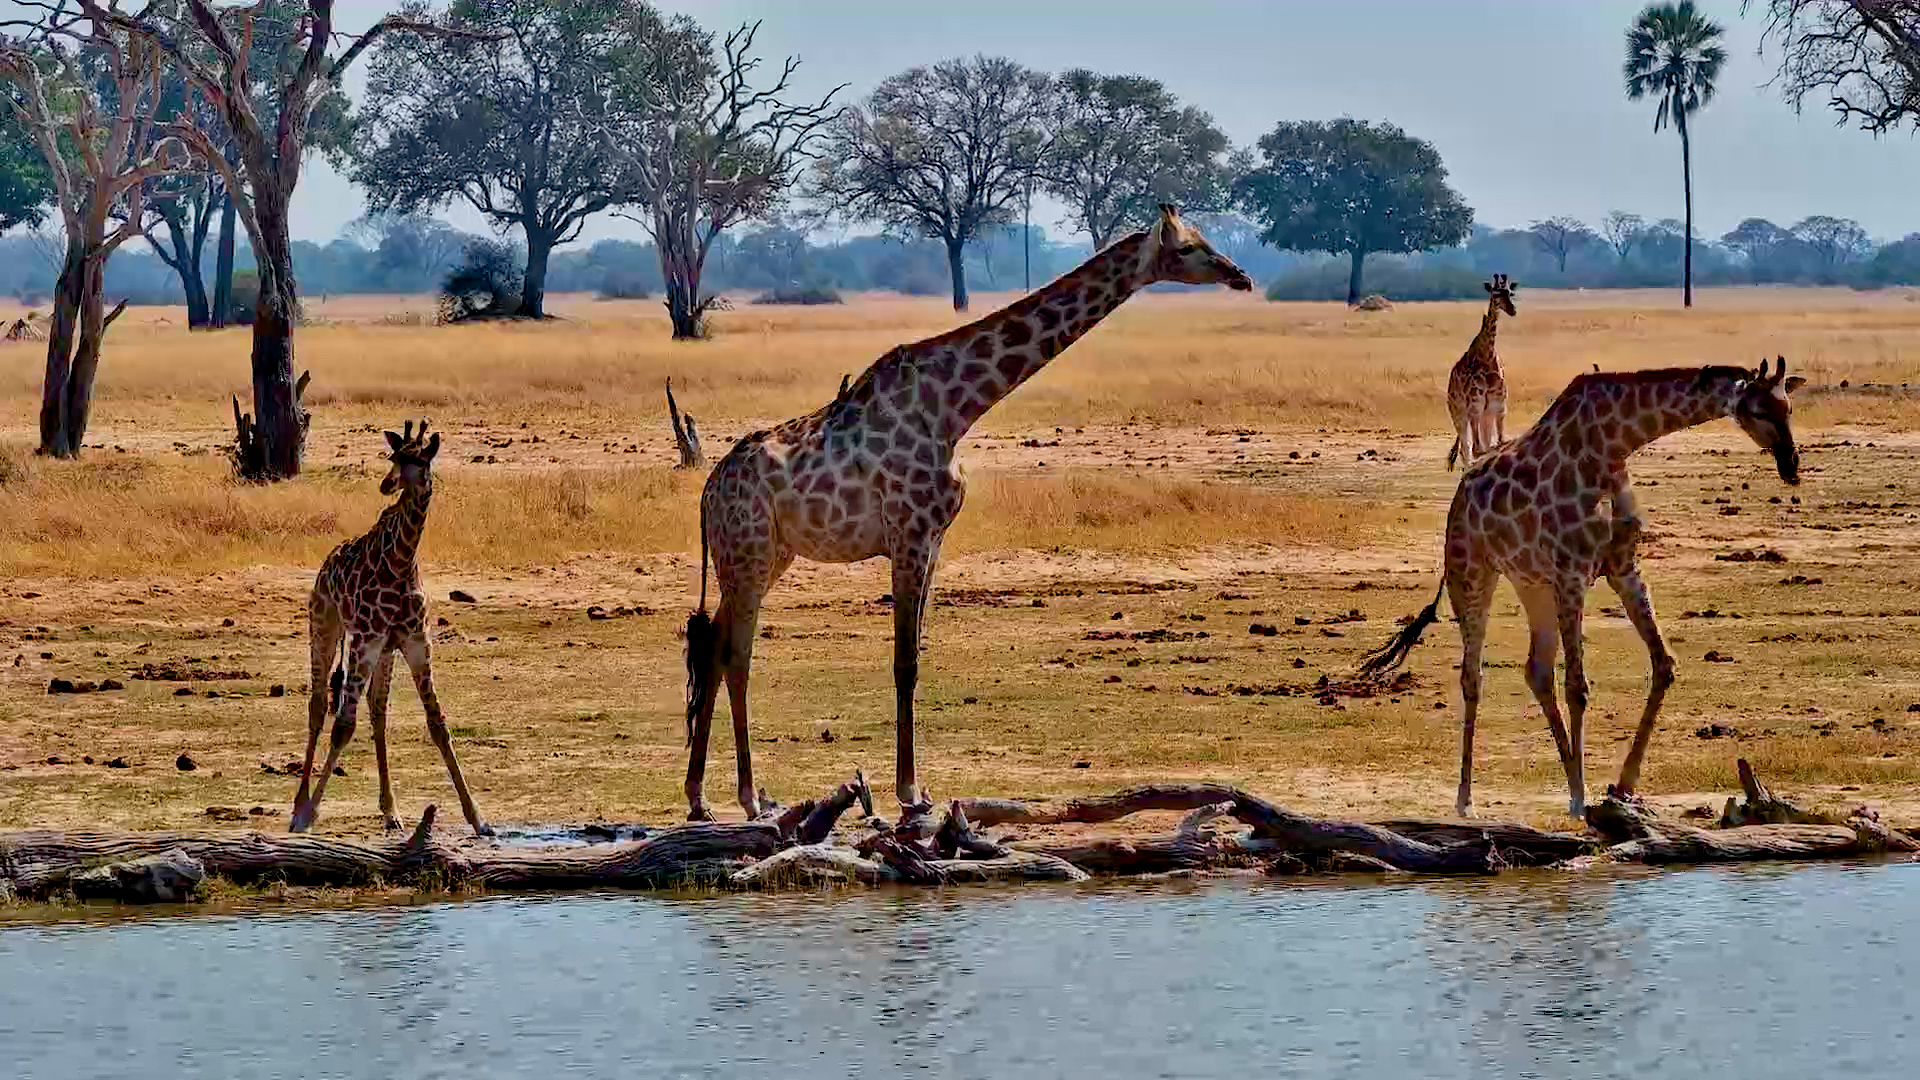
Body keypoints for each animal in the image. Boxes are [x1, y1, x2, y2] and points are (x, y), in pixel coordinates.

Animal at [289, 420, 490, 836]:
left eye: (419, 459)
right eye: (394, 456)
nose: (388, 483)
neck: (401, 562)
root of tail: (326, 563)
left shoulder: (415, 642)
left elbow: (438, 724)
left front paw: (478, 818)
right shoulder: (365, 640)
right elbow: (342, 726)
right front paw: (307, 815)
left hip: (383, 652)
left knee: (377, 710)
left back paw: (390, 811)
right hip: (326, 626)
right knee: (318, 705)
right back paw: (298, 804)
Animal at [683, 205, 1254, 820]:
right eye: (1189, 248)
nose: (1241, 275)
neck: (953, 410)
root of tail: (709, 491)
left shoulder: (934, 539)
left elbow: (915, 656)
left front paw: (917, 787)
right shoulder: (908, 533)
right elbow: (903, 662)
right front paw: (909, 793)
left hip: (765, 557)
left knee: (713, 647)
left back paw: (699, 798)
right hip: (748, 553)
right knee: (735, 654)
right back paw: (747, 798)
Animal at [1361, 358, 1804, 818]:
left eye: (1789, 408)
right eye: (1758, 411)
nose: (1791, 465)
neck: (1613, 444)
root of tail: (1460, 494)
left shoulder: (1622, 566)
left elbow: (1663, 664)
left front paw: (1622, 785)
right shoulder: (1573, 571)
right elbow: (1578, 685)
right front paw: (1578, 797)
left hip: (1532, 584)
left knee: (1536, 670)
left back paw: (1563, 774)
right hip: (1471, 572)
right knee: (1473, 675)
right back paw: (1467, 798)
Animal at [1446, 275, 1517, 470]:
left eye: (1510, 293)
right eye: (1496, 294)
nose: (1512, 310)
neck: (1487, 355)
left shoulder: (1498, 404)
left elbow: (1498, 442)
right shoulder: (1475, 405)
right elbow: (1479, 449)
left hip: (1485, 414)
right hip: (1459, 415)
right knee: (1466, 450)